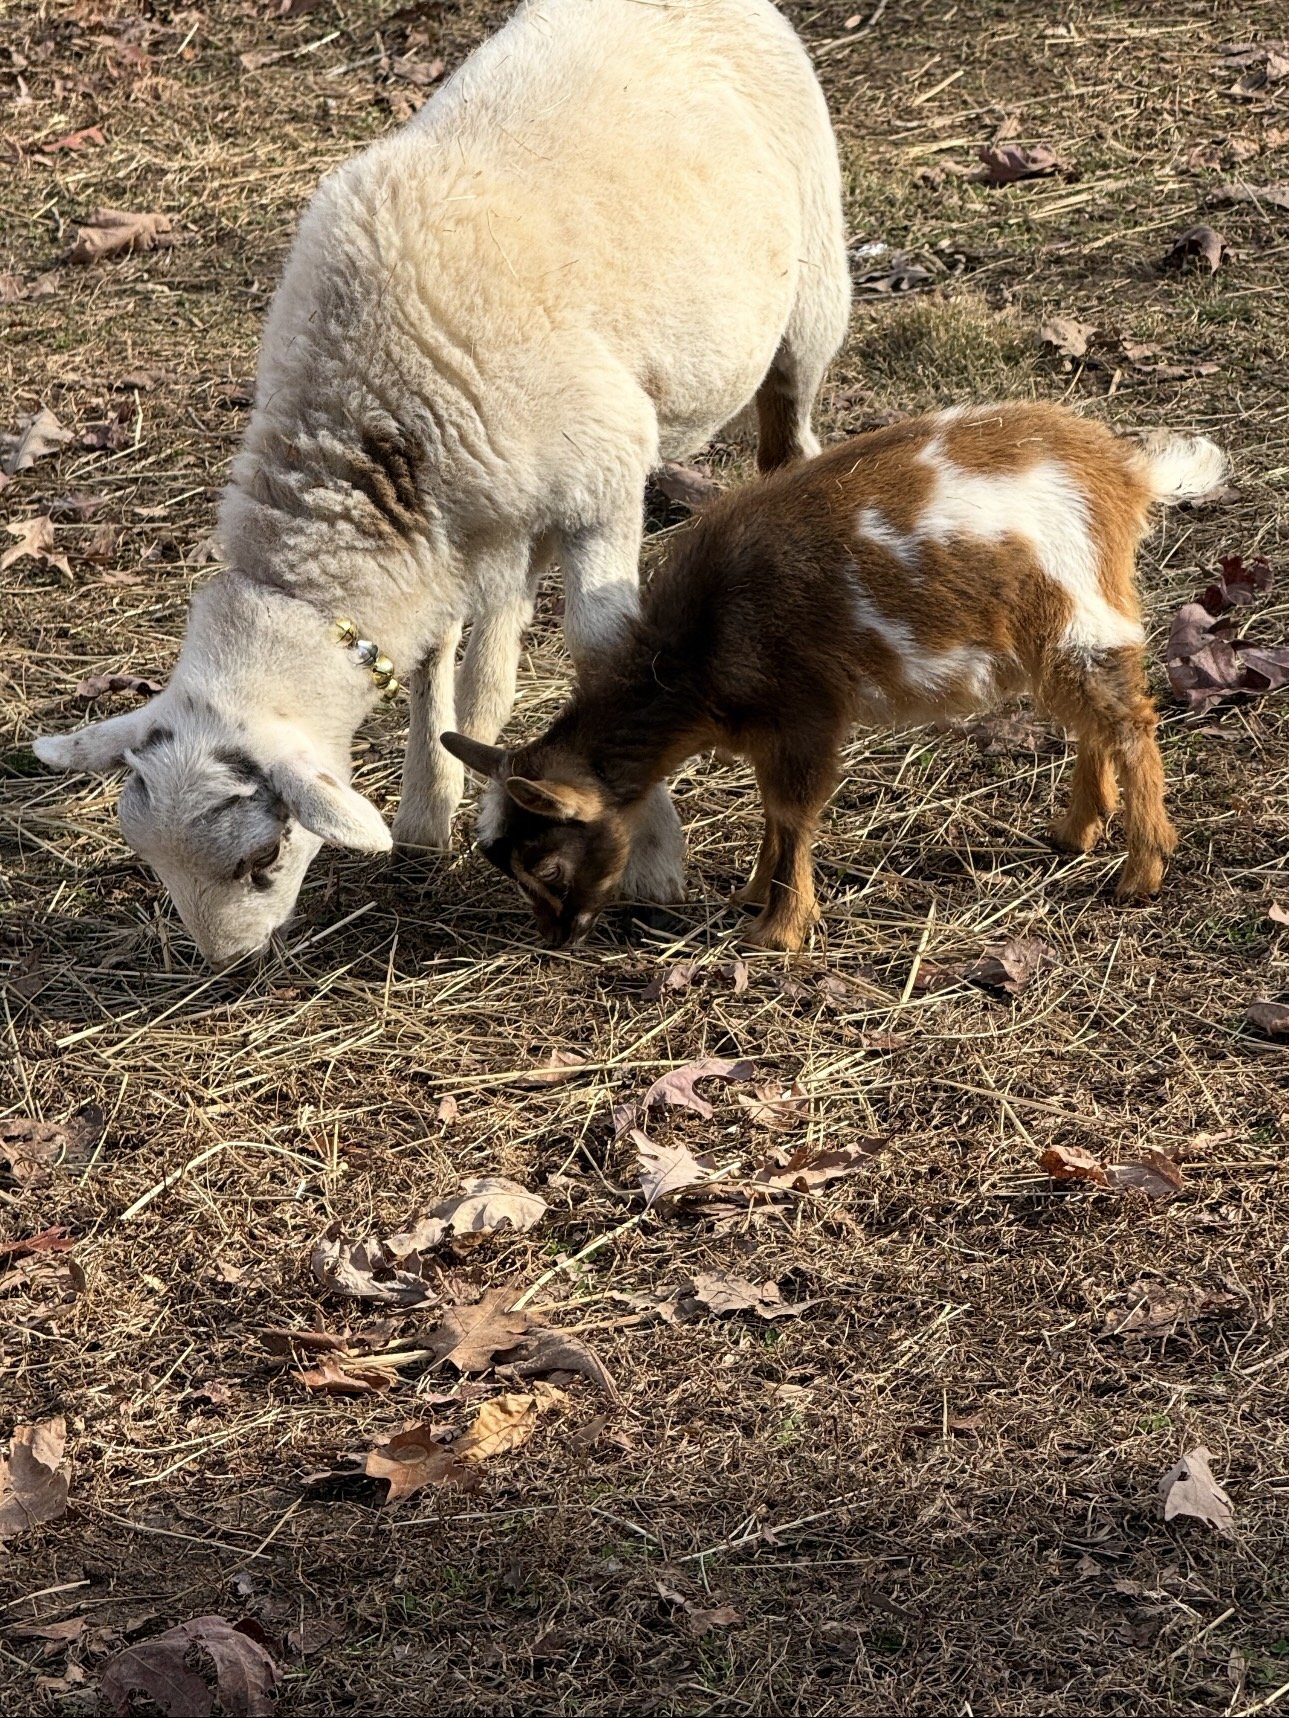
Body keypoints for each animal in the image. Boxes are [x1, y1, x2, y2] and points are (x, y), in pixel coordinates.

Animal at [31, 0, 850, 969]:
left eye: (262, 856)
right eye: (148, 858)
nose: (230, 964)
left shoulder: (603, 479)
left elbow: (602, 650)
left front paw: (652, 853)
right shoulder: (449, 528)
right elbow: (435, 663)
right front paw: (429, 809)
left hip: (812, 288)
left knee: (790, 432)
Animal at [441, 402, 1228, 952]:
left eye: (547, 868)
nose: (557, 937)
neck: (695, 649)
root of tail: (1122, 471)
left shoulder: (804, 713)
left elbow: (793, 814)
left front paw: (776, 931)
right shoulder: (770, 728)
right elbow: (771, 811)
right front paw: (751, 894)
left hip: (1079, 610)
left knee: (1130, 723)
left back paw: (1140, 872)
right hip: (1056, 633)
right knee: (1093, 721)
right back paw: (1076, 831)